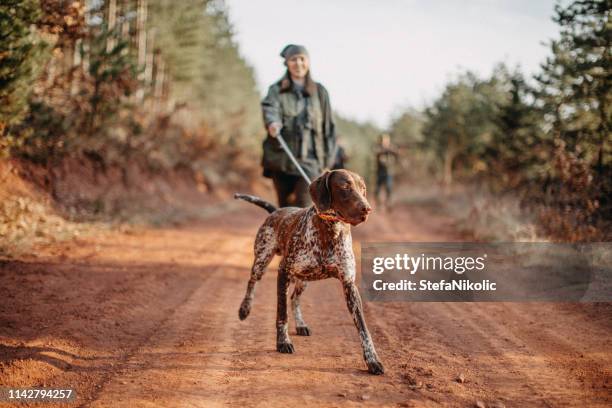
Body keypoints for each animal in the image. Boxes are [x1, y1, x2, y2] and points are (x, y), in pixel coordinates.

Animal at [235, 170, 384, 376]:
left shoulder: (349, 285)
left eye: (363, 189)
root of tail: (276, 210)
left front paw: (372, 359)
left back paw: (300, 324)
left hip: (303, 279)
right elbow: (282, 314)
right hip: (262, 260)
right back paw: (245, 308)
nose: (367, 209)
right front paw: (283, 342)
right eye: (345, 186)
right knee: (252, 282)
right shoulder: (283, 272)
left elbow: (363, 329)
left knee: (294, 298)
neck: (330, 230)